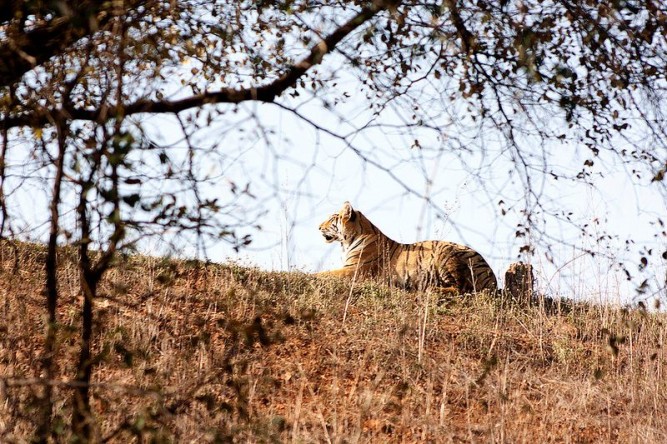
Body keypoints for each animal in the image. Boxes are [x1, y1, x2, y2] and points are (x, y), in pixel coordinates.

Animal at [317, 201, 497, 294]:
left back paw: (430, 289)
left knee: (460, 288)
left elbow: (325, 274)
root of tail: (491, 276)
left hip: (445, 253)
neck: (347, 242)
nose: (318, 227)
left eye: (331, 218)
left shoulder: (354, 270)